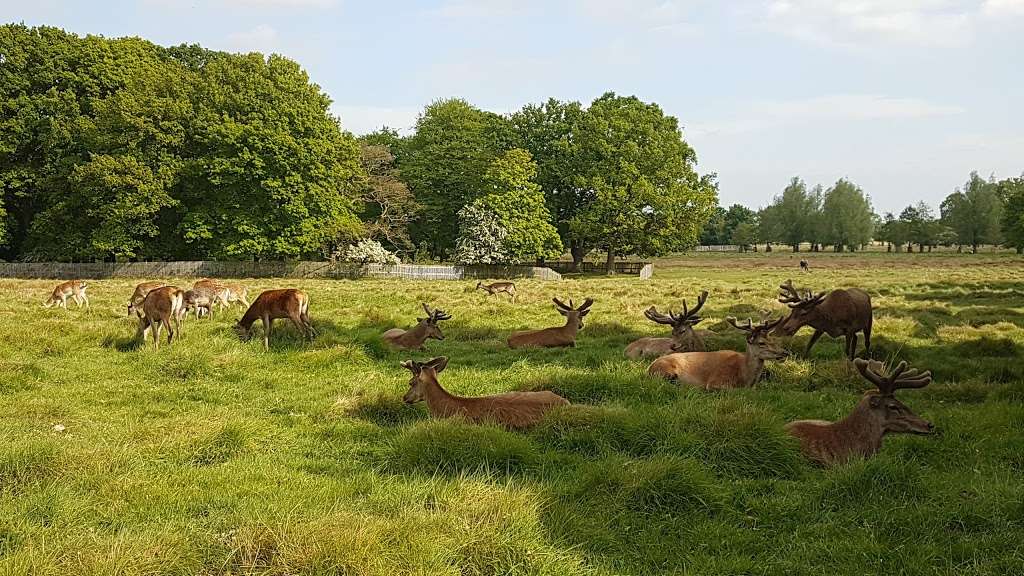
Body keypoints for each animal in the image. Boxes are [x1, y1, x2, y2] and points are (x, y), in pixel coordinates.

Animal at [651, 313, 786, 389]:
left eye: (773, 339)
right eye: (761, 343)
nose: (785, 353)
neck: (744, 376)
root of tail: (649, 368)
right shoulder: (715, 382)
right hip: (666, 371)